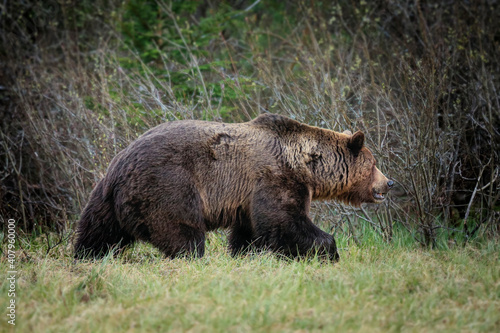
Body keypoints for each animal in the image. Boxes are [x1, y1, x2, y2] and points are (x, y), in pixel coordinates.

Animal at [74, 113, 394, 260]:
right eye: (373, 162)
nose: (389, 182)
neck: (305, 164)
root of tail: (121, 162)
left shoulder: (248, 196)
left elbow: (251, 230)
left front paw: (246, 253)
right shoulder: (275, 178)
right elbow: (285, 221)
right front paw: (329, 251)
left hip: (104, 197)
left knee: (97, 231)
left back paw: (86, 255)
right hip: (168, 184)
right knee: (182, 230)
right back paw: (193, 257)